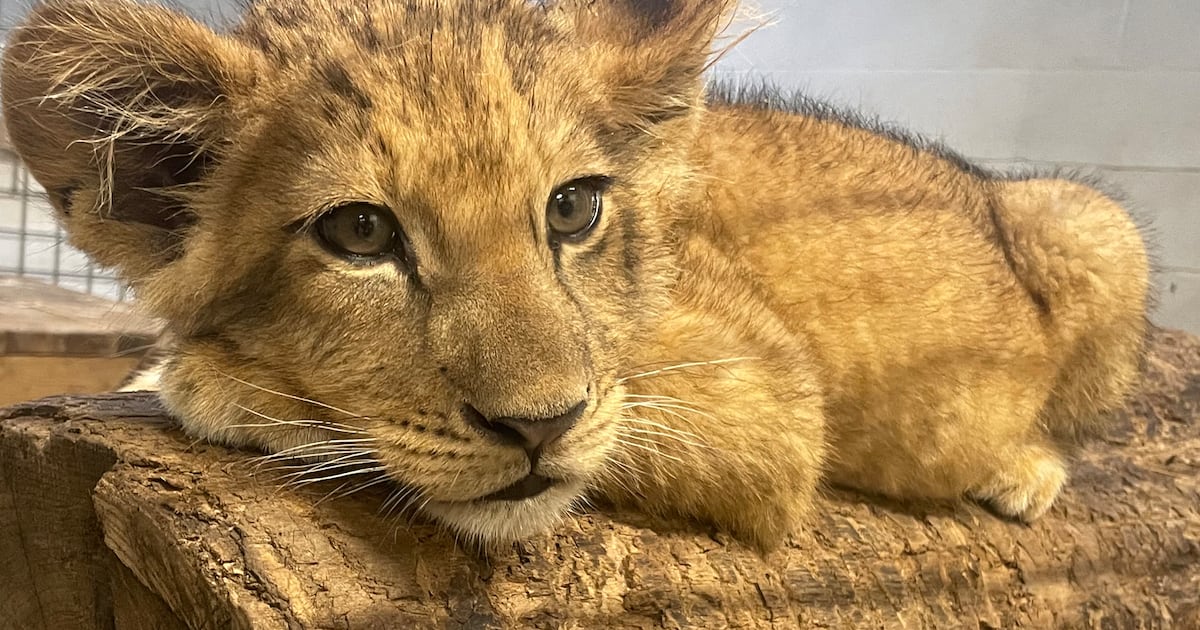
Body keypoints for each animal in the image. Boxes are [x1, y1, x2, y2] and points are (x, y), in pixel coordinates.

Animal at [1, 0, 1151, 550]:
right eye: (361, 233)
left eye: (571, 209)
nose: (539, 427)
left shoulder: (764, 400)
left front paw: (206, 377)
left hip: (1094, 227)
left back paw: (1024, 471)